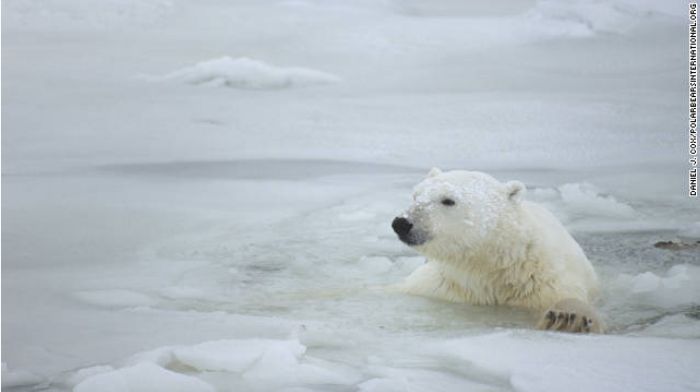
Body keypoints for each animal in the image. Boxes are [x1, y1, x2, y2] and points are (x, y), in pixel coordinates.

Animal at [392, 168, 604, 334]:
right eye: (416, 195)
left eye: (448, 200)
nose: (402, 223)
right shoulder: (439, 287)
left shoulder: (548, 286)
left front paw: (567, 319)